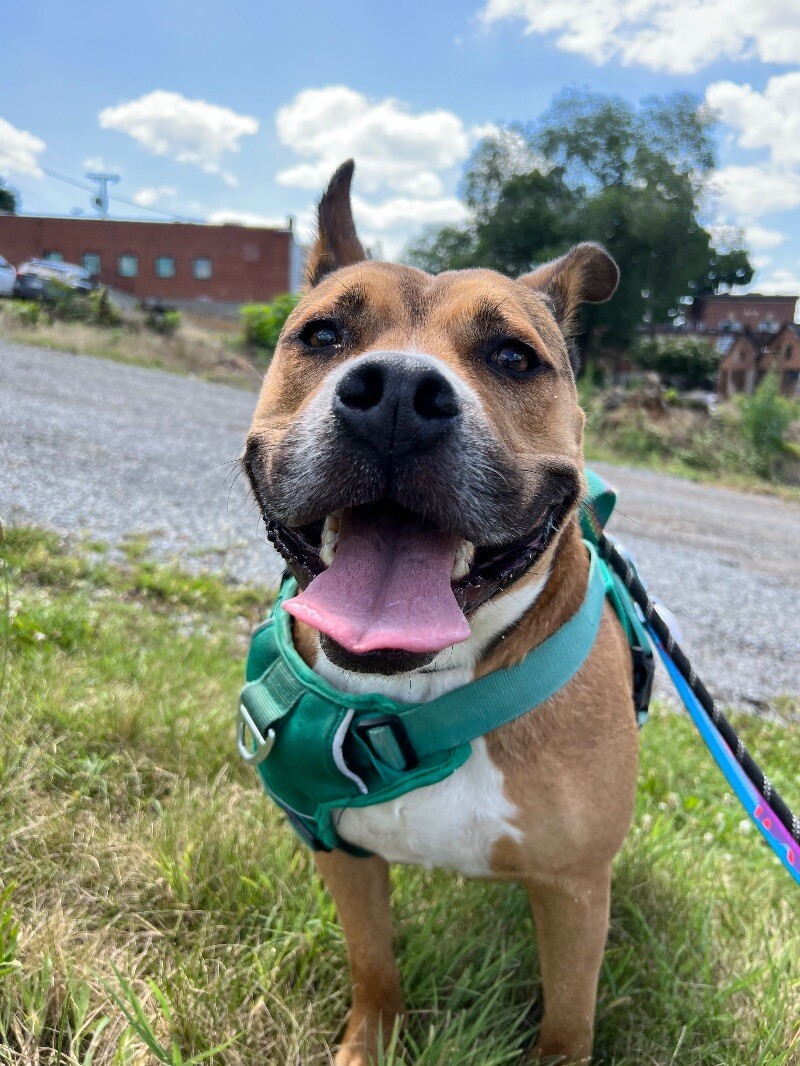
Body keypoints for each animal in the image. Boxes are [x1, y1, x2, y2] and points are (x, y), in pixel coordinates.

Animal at [244, 159, 640, 1066]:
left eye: (513, 357)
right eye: (322, 336)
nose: (396, 392)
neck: (419, 694)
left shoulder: (574, 892)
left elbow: (568, 1020)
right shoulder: (340, 854)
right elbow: (373, 965)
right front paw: (370, 1042)